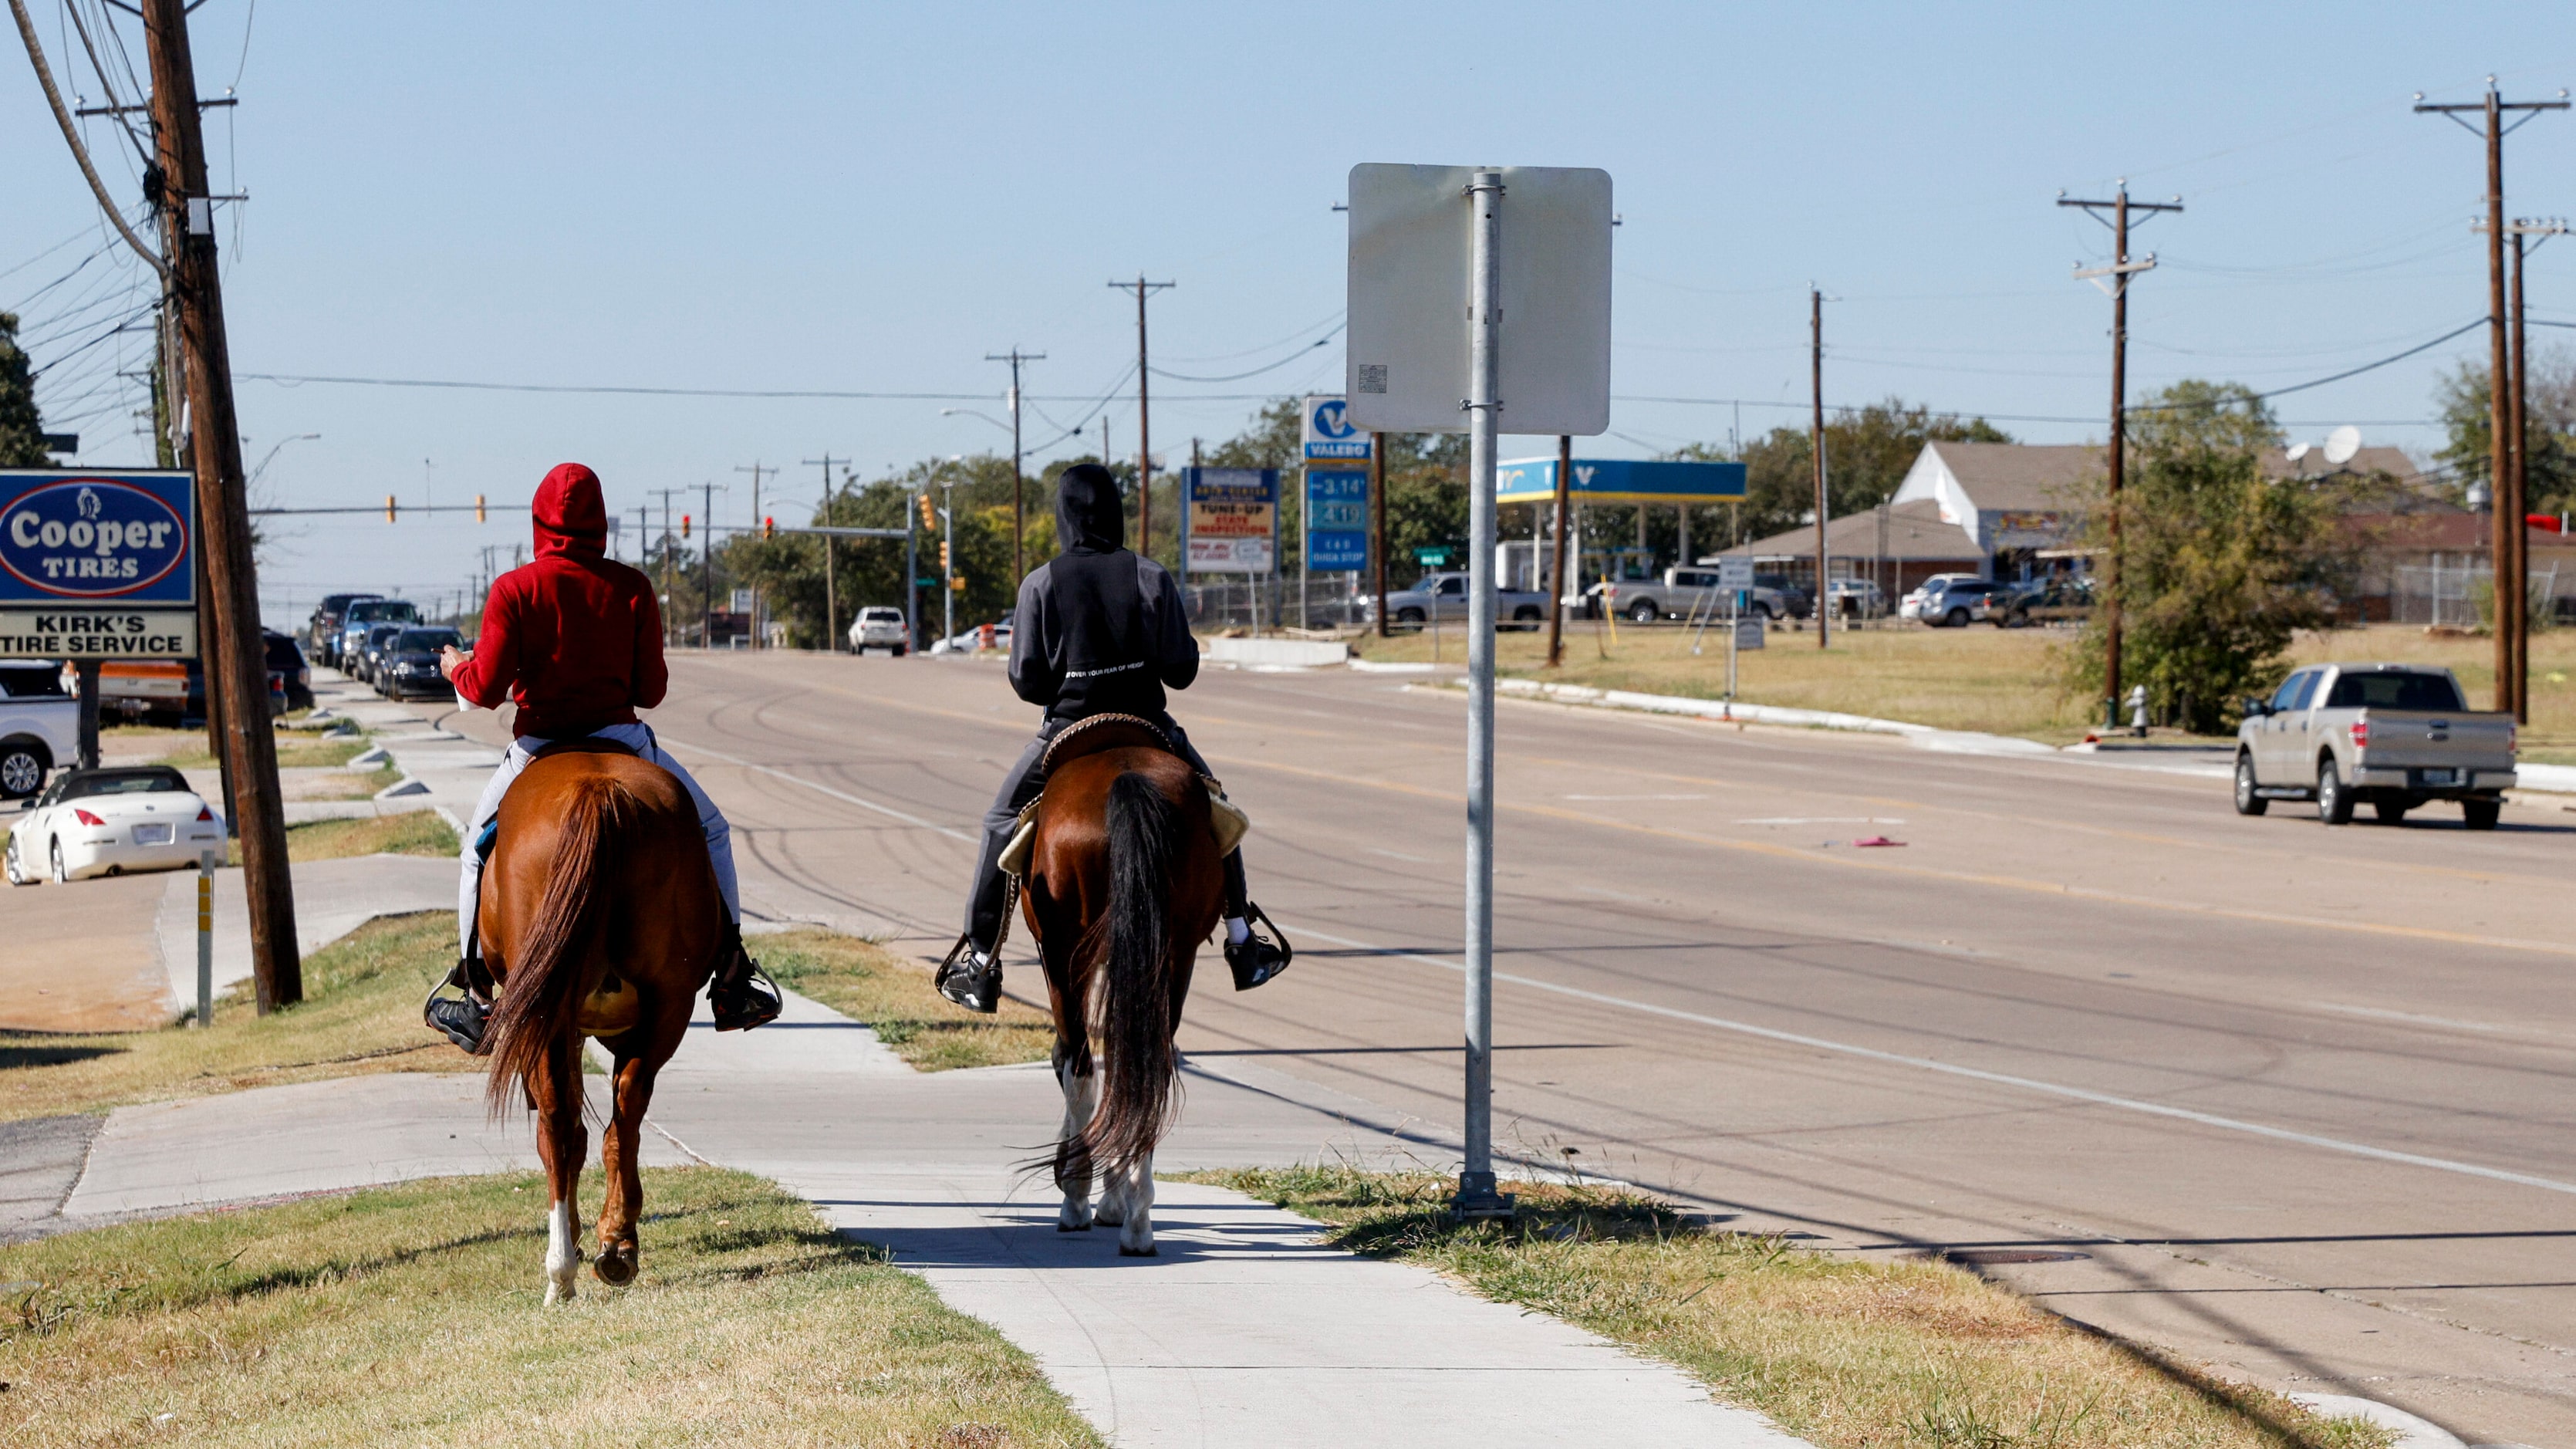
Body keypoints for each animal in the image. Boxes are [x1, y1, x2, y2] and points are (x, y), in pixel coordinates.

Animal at [479, 742, 726, 1299]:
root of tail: (599, 791)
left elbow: (565, 1130)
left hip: (550, 1016)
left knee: (557, 1124)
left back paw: (562, 1270)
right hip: (668, 1004)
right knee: (626, 1109)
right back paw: (616, 1246)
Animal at [1015, 716, 1226, 1248]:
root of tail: (1126, 778)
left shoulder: (1061, 955)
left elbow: (1077, 1065)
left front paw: (1083, 1188)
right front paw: (1115, 1196)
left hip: (1066, 952)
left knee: (1084, 1067)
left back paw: (1080, 1203)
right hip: (1175, 954)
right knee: (1149, 1065)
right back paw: (1139, 1219)